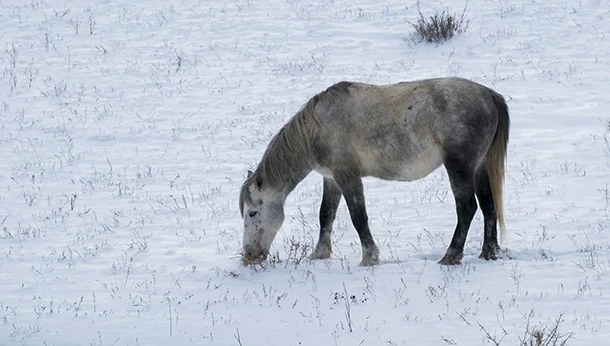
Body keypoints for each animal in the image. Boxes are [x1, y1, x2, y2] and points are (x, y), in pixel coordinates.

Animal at [238, 77, 508, 266]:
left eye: (252, 213)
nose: (249, 255)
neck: (316, 128)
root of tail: (490, 96)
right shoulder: (331, 179)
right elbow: (325, 215)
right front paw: (319, 254)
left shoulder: (347, 176)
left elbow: (359, 217)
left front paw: (369, 257)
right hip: (479, 167)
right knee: (488, 206)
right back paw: (489, 253)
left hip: (459, 167)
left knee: (467, 208)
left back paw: (451, 256)